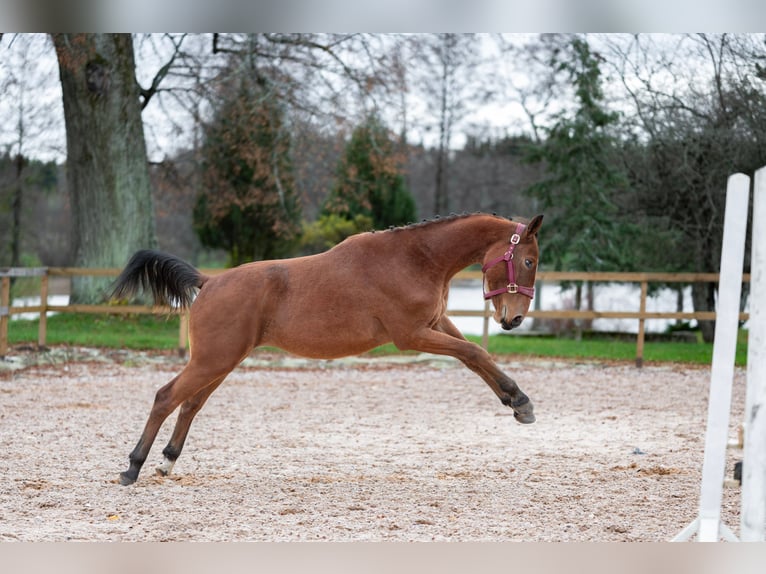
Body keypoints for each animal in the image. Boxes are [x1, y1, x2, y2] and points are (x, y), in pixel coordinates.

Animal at [114, 213, 544, 486]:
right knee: (165, 397)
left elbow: (475, 356)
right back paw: (132, 468)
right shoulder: (412, 335)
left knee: (189, 404)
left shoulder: (436, 324)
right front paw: (519, 401)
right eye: (528, 260)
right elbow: (474, 354)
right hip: (212, 361)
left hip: (220, 363)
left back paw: (167, 462)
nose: (514, 319)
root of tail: (209, 281)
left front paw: (517, 401)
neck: (415, 259)